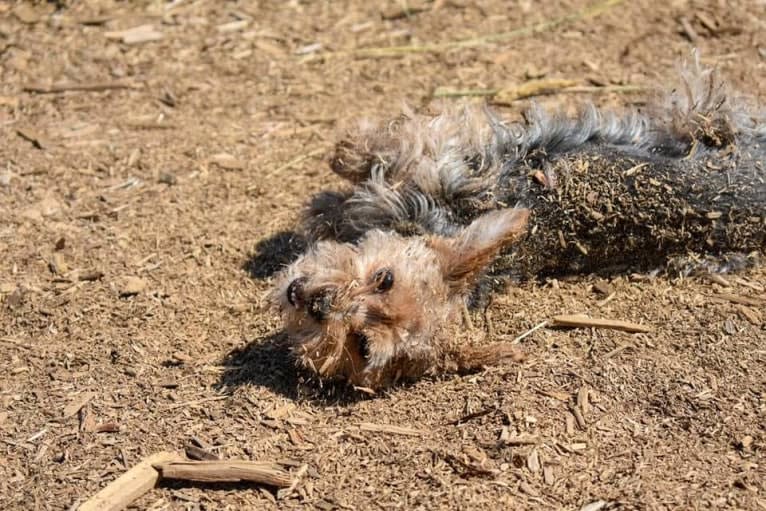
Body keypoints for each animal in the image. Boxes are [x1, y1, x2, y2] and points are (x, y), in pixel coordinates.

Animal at [268, 54, 764, 390]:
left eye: (362, 345)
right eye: (384, 276)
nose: (318, 303)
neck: (440, 225)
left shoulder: (440, 163)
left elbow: (391, 152)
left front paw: (331, 190)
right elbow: (371, 159)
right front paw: (342, 168)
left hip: (702, 111)